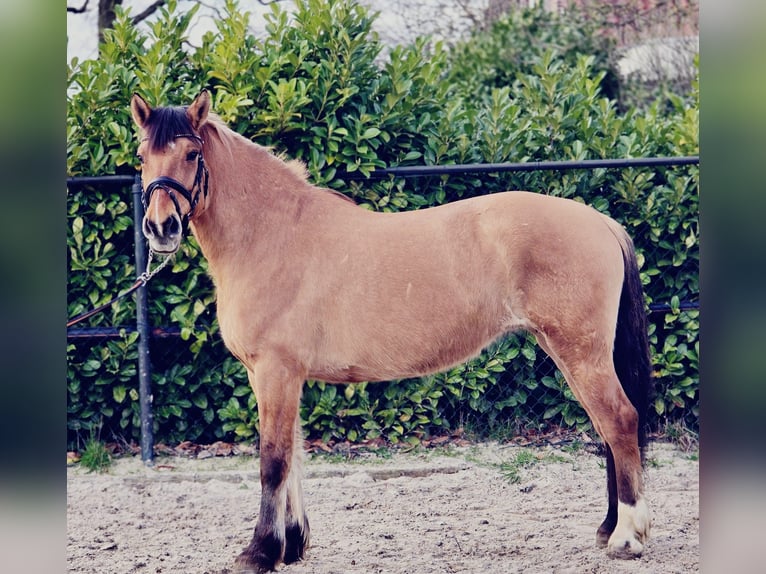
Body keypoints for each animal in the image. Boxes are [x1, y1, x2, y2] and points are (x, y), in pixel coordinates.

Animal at [130, 90, 652, 572]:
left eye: (192, 154)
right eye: (142, 156)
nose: (161, 228)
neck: (272, 234)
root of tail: (601, 222)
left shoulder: (276, 372)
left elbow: (273, 461)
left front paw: (259, 552)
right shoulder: (279, 376)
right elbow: (293, 456)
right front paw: (291, 546)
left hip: (580, 352)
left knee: (619, 420)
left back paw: (627, 537)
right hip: (567, 349)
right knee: (607, 428)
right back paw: (608, 527)